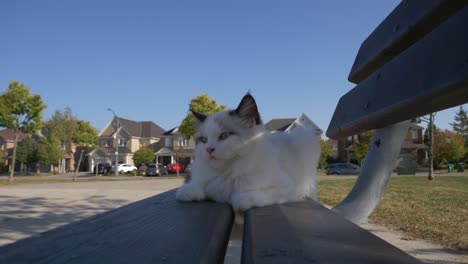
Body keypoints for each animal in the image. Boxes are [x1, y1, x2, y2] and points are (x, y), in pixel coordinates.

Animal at [176, 94, 322, 211]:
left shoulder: (288, 188)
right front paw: (188, 192)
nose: (209, 149)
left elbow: (253, 195)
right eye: (204, 140)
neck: (227, 171)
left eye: (224, 136)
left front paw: (238, 200)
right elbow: (198, 187)